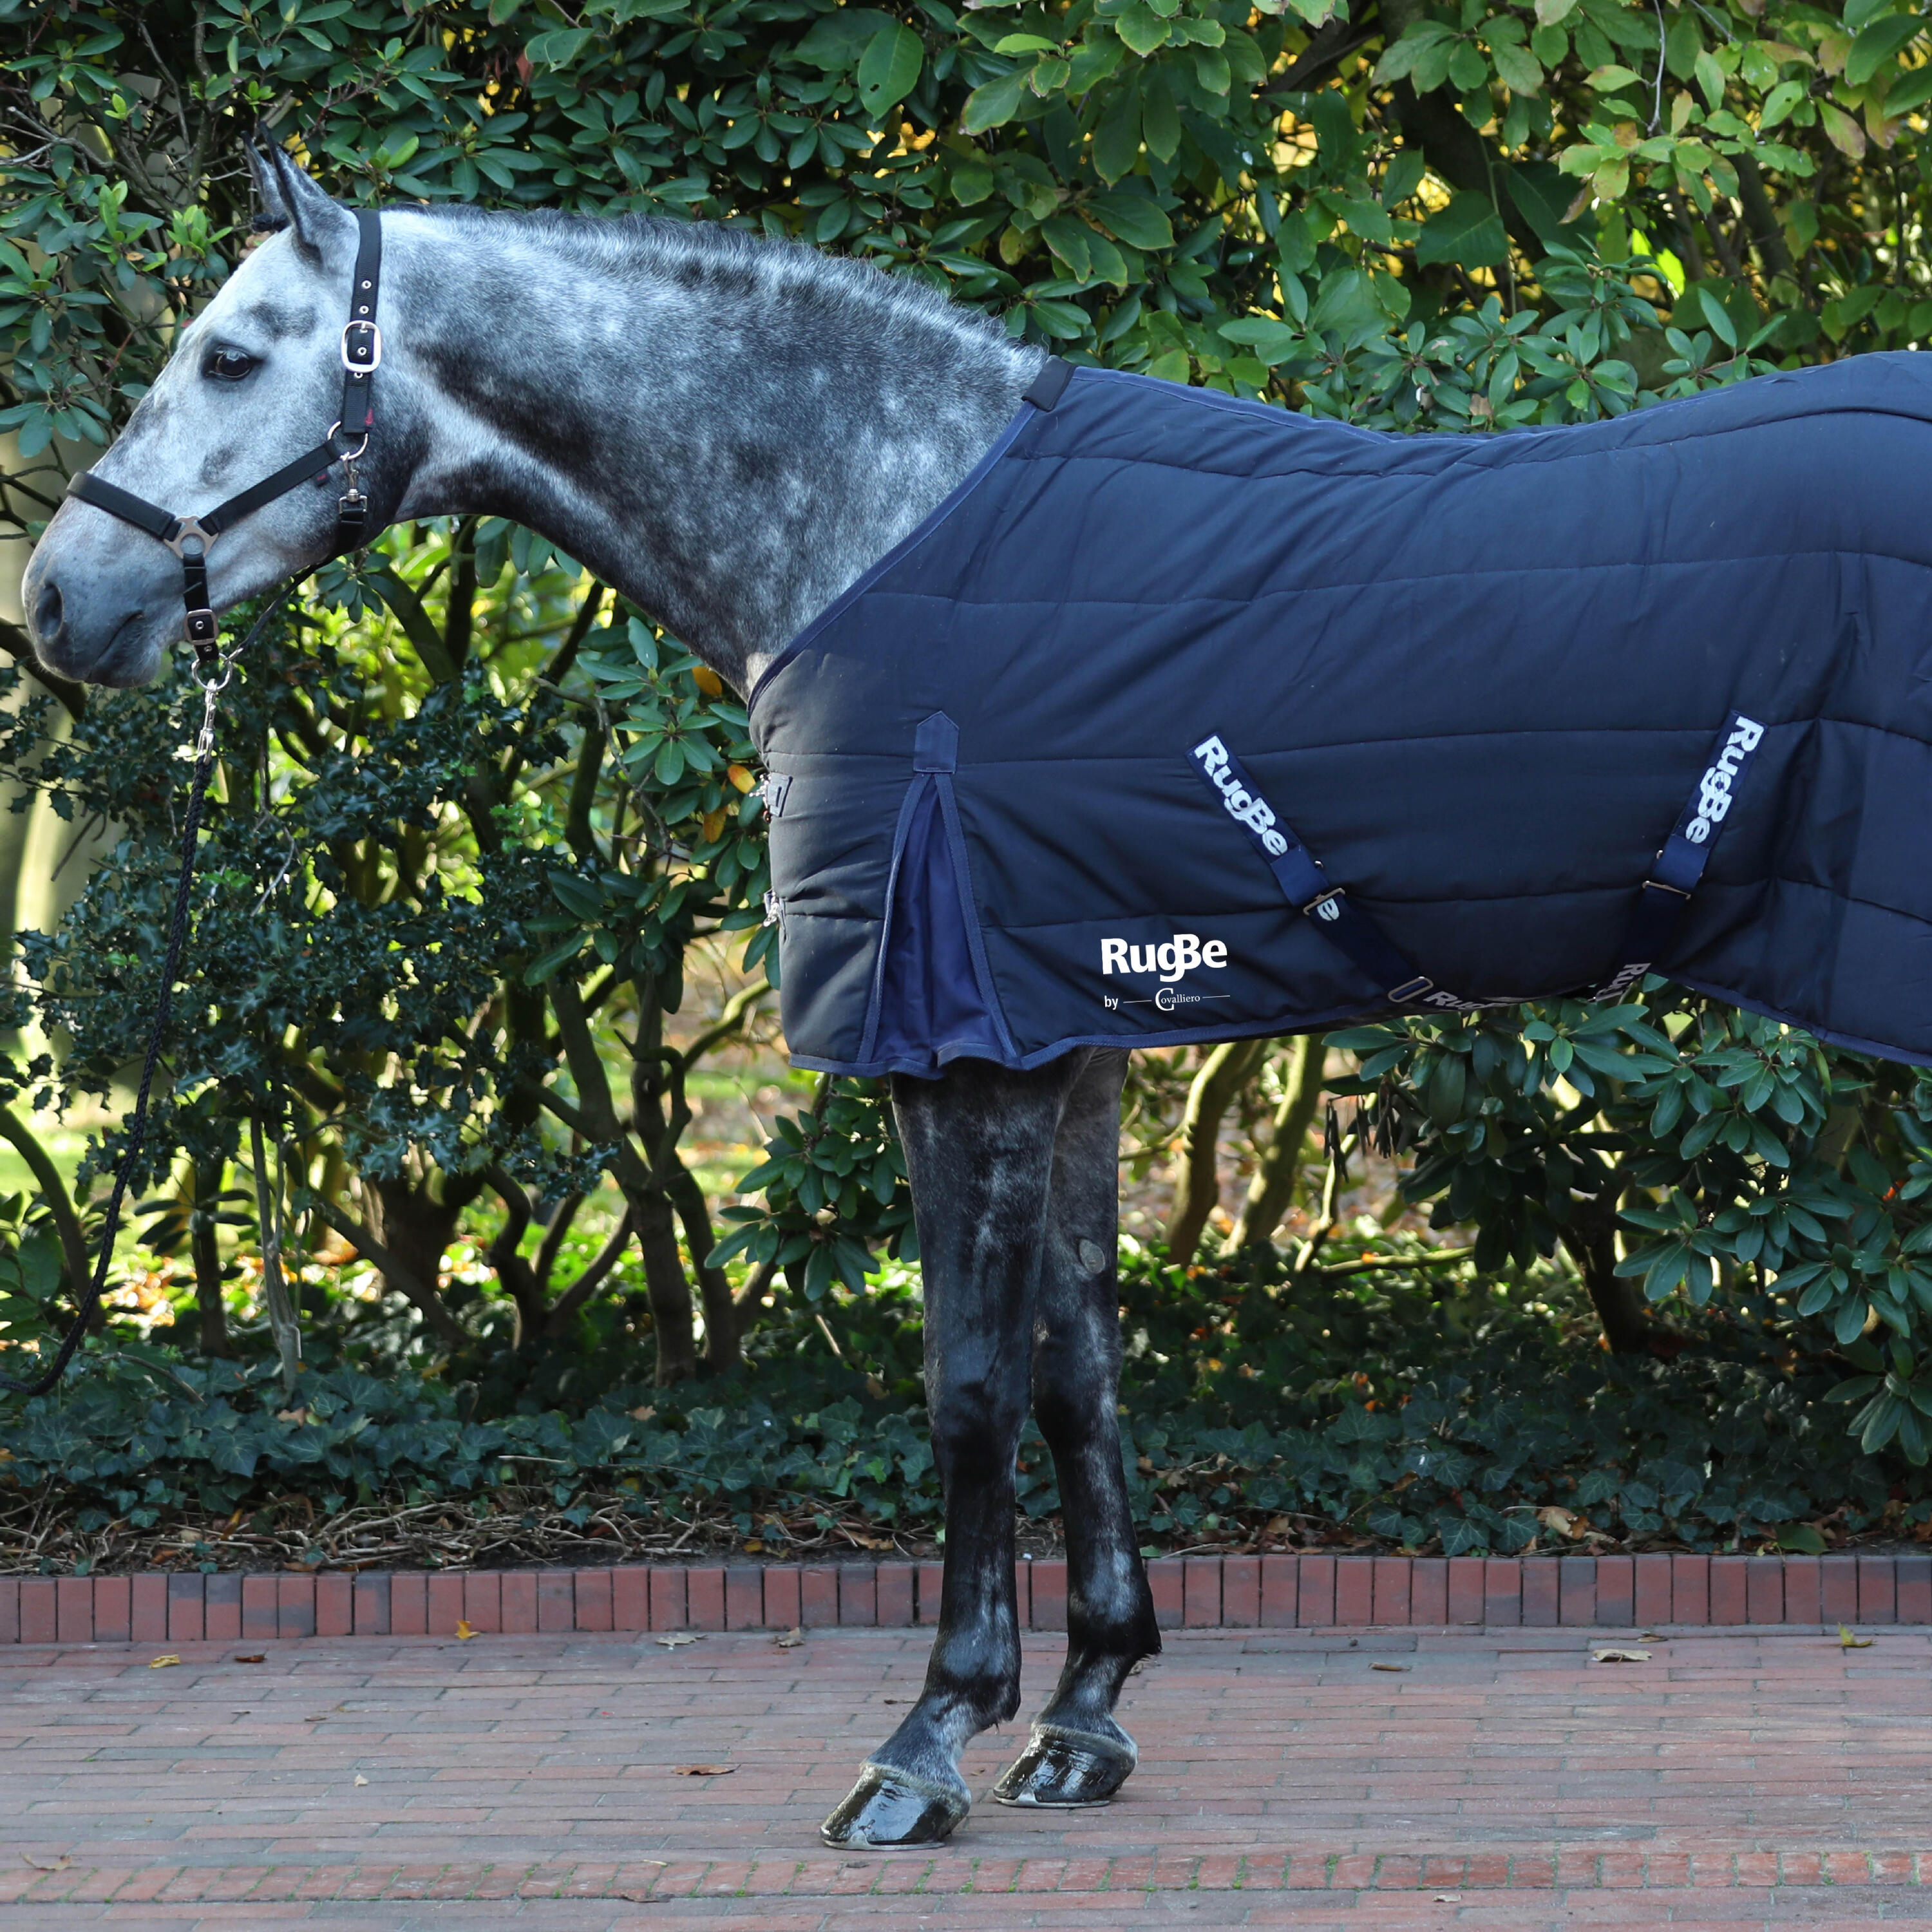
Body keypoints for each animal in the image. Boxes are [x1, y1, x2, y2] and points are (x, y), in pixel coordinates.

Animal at [21, 146, 1154, 1848]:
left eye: (229, 356)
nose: (54, 602)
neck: (904, 519)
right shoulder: (1070, 1051)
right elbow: (1076, 1374)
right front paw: (1084, 1711)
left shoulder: (976, 1065)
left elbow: (971, 1386)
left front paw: (929, 1736)